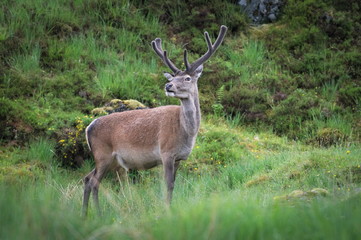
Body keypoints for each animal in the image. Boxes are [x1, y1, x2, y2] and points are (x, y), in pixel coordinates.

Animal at [83, 24, 226, 216]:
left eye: (187, 78)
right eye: (172, 78)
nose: (168, 85)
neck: (186, 132)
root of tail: (88, 127)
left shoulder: (179, 158)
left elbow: (173, 184)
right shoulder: (166, 152)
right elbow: (168, 185)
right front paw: (167, 210)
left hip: (109, 160)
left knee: (87, 178)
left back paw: (84, 214)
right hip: (102, 153)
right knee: (94, 182)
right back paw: (98, 213)